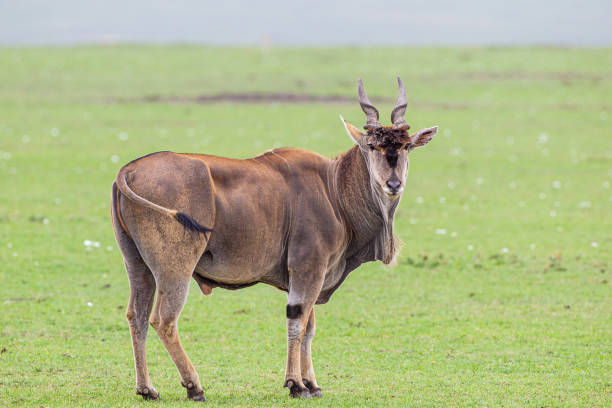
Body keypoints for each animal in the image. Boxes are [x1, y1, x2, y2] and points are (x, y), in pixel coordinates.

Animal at [110, 77, 436, 402]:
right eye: (371, 145)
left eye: (406, 146)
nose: (393, 183)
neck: (334, 188)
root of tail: (128, 170)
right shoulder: (308, 269)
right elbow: (298, 323)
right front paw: (296, 385)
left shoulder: (309, 276)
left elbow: (309, 327)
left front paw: (312, 384)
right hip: (175, 268)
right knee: (163, 320)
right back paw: (194, 386)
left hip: (136, 264)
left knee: (136, 315)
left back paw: (147, 389)